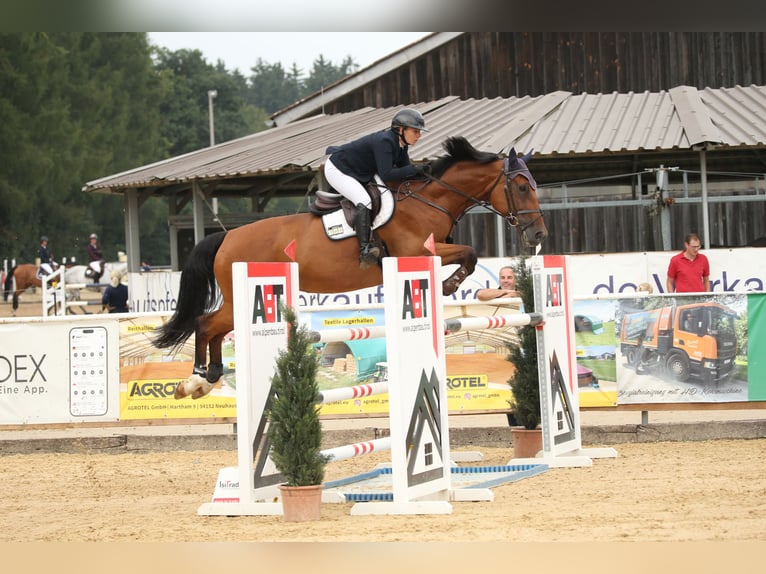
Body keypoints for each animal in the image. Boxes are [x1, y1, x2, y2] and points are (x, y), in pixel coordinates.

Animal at [154, 136, 548, 400]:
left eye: (534, 186)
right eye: (521, 187)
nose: (539, 234)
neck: (428, 201)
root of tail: (227, 237)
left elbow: (469, 254)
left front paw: (449, 285)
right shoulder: (413, 251)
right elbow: (469, 253)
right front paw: (450, 286)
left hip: (243, 300)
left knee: (215, 329)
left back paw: (208, 379)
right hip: (242, 298)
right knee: (206, 324)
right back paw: (195, 380)